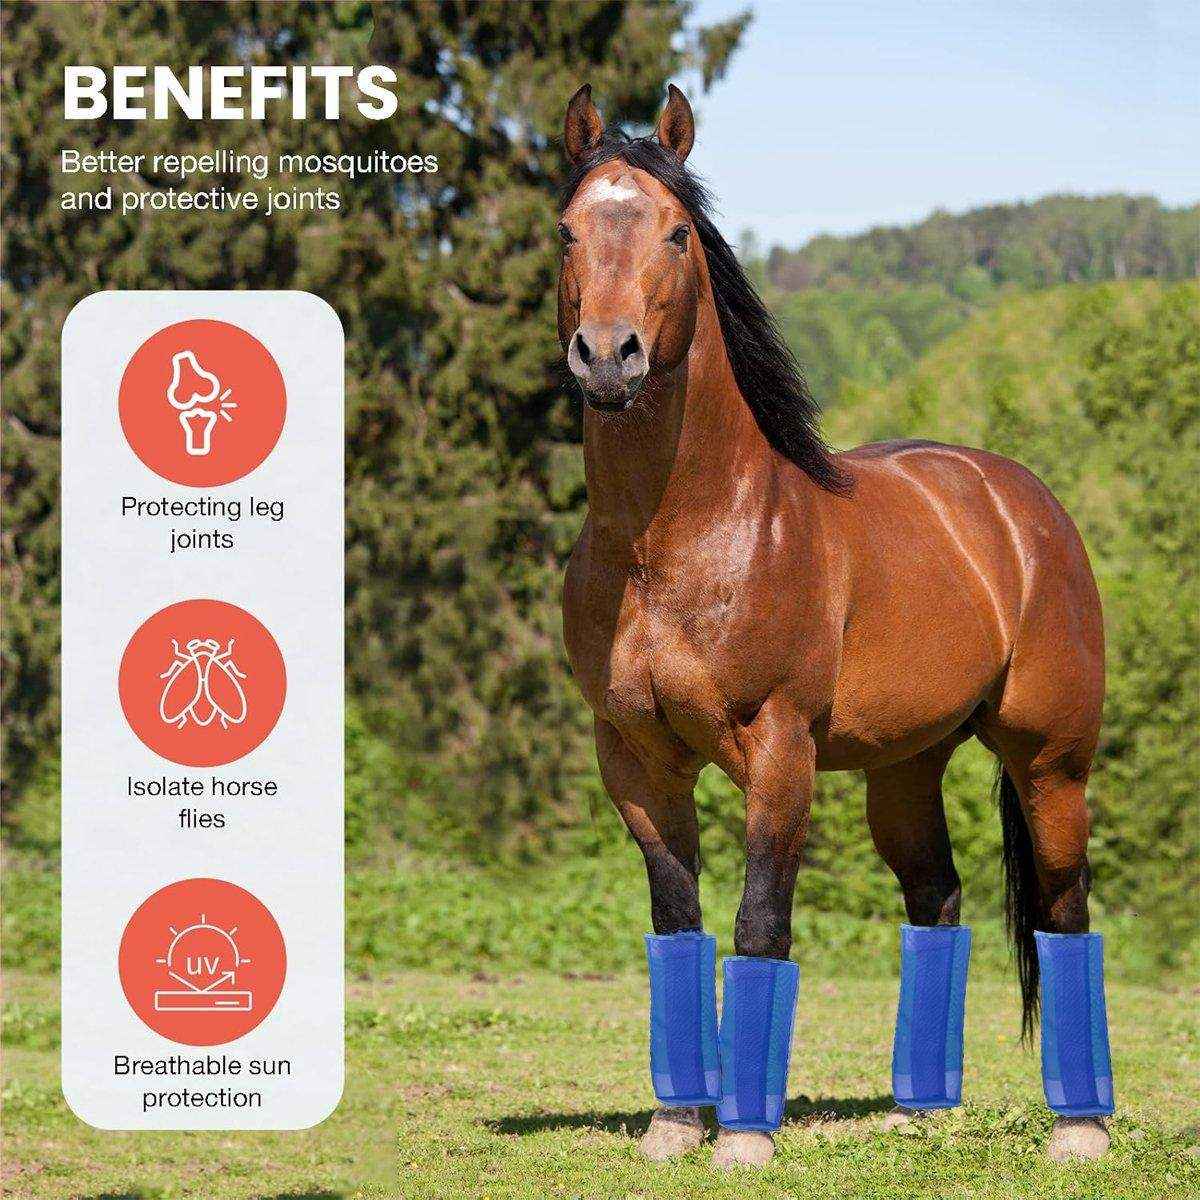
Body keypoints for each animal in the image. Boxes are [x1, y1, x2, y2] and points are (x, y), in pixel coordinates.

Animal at [557, 84, 1110, 1168]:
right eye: (564, 231)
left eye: (678, 232)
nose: (607, 357)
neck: (675, 541)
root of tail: (1021, 502)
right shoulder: (634, 757)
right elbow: (677, 923)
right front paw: (675, 1127)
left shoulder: (780, 750)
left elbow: (758, 924)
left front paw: (743, 1142)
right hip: (906, 766)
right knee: (936, 898)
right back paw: (918, 1107)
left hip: (1050, 761)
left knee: (1065, 908)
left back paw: (1080, 1131)